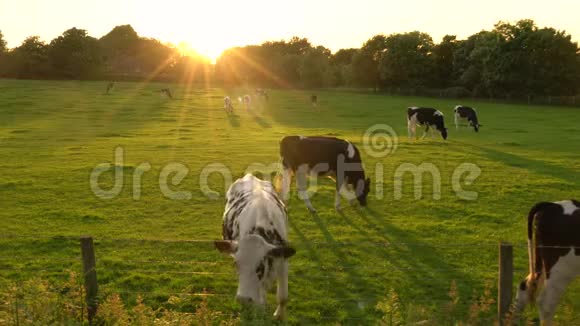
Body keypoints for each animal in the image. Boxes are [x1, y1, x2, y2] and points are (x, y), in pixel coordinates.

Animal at [213, 174, 296, 320]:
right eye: (236, 264)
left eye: (260, 267)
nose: (243, 299)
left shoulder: (282, 259)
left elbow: (283, 296)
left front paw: (279, 315)